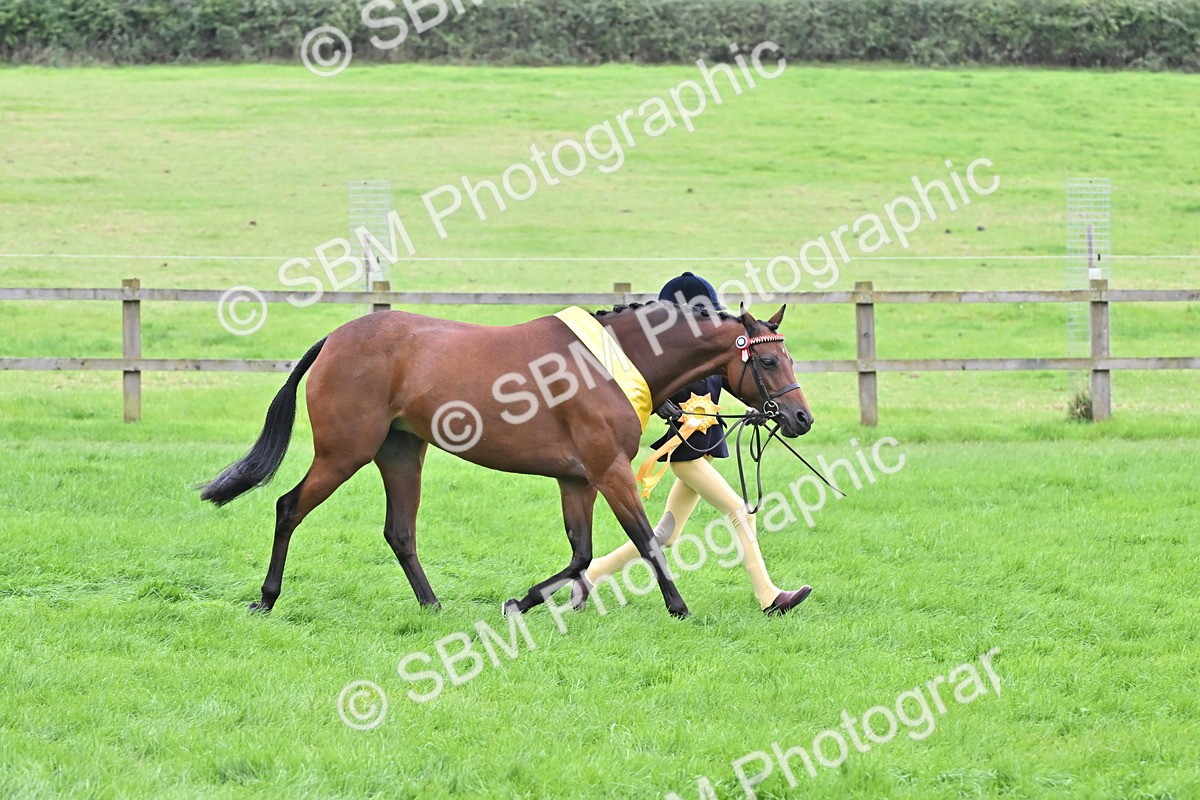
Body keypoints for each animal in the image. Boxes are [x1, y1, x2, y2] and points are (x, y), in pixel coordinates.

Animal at [200, 300, 813, 619]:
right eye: (770, 363)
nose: (801, 418)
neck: (612, 360)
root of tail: (336, 337)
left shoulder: (577, 480)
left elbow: (582, 554)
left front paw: (529, 599)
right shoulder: (608, 472)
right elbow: (646, 542)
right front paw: (678, 607)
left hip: (401, 455)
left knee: (400, 532)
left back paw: (432, 605)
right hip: (343, 453)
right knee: (287, 508)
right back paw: (266, 599)